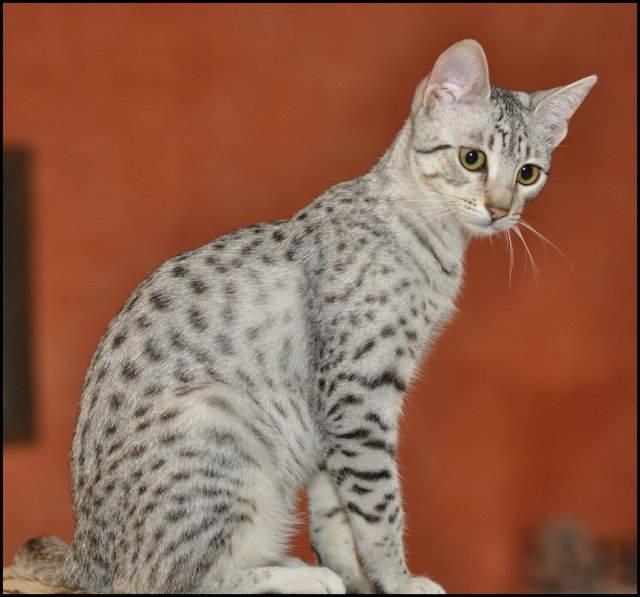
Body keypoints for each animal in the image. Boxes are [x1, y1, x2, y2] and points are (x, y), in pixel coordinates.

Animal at [13, 39, 596, 592]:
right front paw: (398, 580)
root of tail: (84, 557)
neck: (430, 240)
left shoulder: (332, 413)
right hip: (218, 417)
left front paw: (355, 576)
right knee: (159, 580)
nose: (500, 209)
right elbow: (378, 505)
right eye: (472, 159)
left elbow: (334, 509)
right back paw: (296, 576)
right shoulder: (357, 392)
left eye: (528, 174)